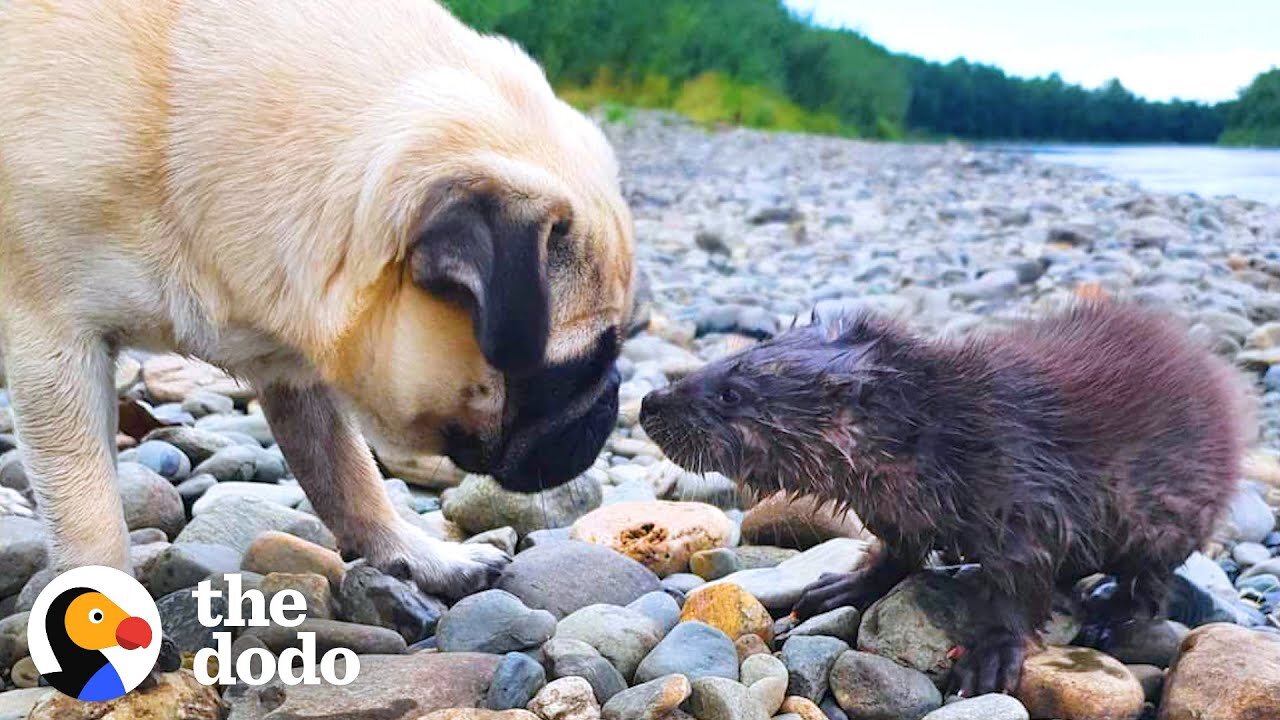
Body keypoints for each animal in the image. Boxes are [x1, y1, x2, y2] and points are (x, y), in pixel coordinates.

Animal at [0, 0, 632, 594]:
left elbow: (348, 476)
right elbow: (90, 511)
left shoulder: (293, 369)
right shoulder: (55, 349)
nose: (612, 397)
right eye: (573, 372)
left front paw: (420, 555)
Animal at [640, 299, 1249, 691]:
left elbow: (1020, 583)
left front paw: (990, 660)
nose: (649, 403)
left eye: (731, 393)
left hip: (1169, 517)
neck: (946, 432)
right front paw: (838, 589)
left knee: (1152, 587)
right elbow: (897, 553)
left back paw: (1105, 611)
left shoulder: (1024, 488)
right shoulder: (894, 509)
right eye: (720, 360)